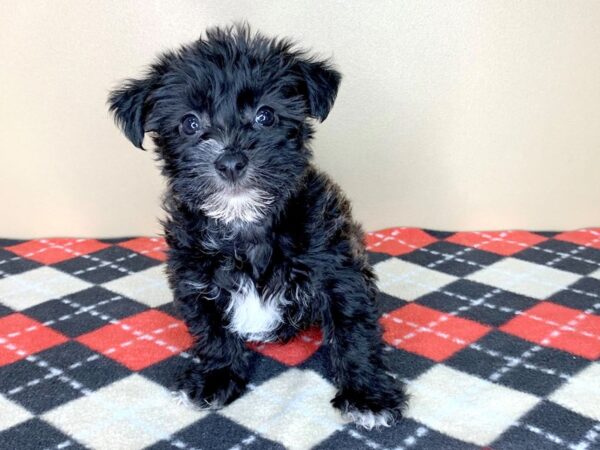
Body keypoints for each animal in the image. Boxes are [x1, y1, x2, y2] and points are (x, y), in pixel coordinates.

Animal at [108, 24, 408, 428]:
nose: (231, 161)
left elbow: (353, 332)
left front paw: (367, 395)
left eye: (265, 115)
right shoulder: (193, 278)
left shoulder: (338, 273)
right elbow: (212, 331)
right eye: (190, 123)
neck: (244, 224)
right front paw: (217, 376)